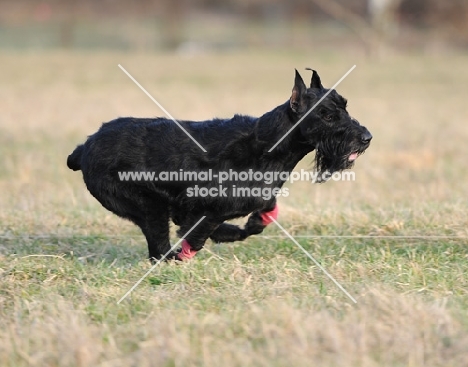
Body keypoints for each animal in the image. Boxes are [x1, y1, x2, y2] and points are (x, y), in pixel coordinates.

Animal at [66, 69, 372, 264]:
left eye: (344, 105)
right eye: (327, 115)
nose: (366, 137)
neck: (268, 146)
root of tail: (85, 148)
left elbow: (258, 219)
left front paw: (244, 227)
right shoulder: (203, 208)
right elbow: (198, 232)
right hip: (148, 208)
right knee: (159, 250)